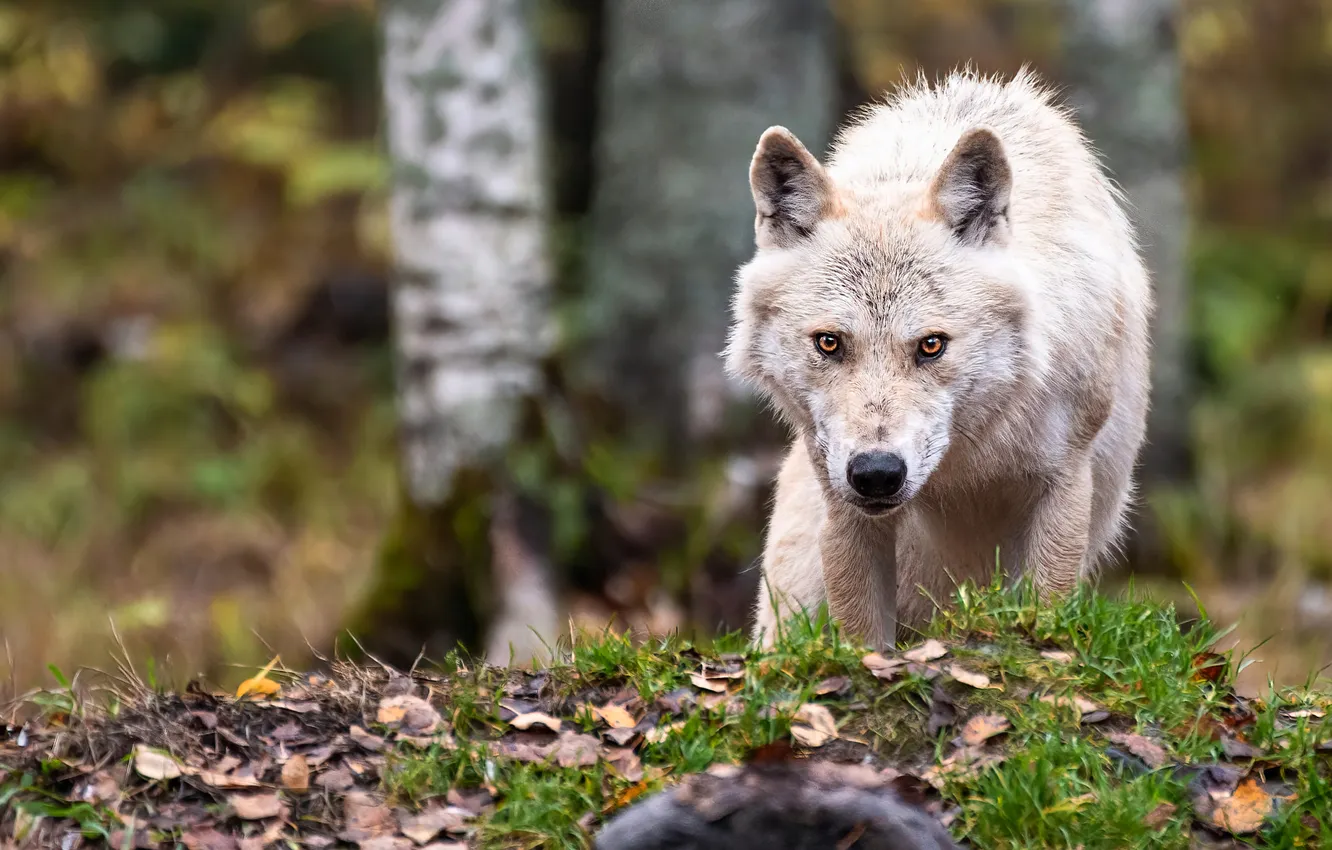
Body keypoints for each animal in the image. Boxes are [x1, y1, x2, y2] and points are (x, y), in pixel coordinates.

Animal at [723, 68, 1153, 648]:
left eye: (932, 345)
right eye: (829, 343)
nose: (877, 473)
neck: (964, 463)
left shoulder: (1065, 480)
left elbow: (1043, 614)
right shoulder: (841, 497)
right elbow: (864, 640)